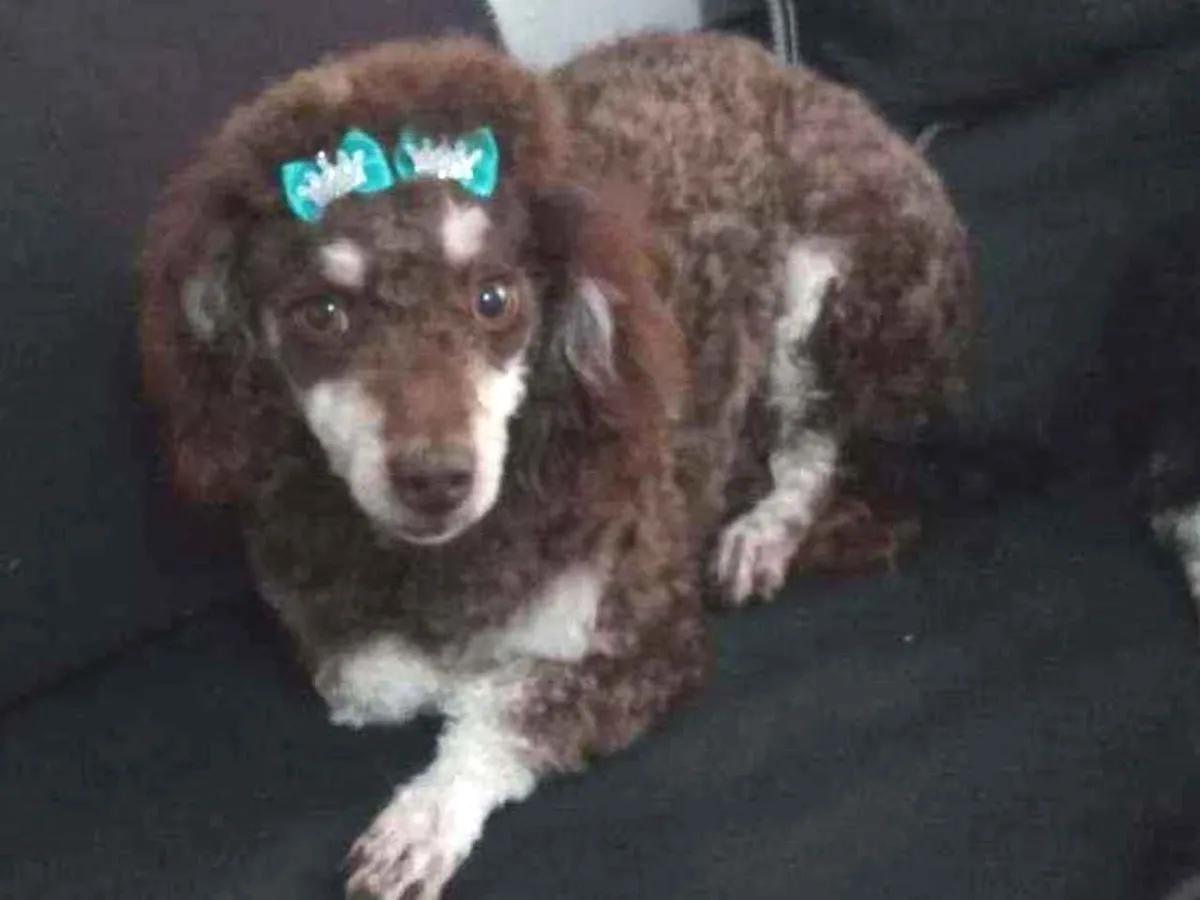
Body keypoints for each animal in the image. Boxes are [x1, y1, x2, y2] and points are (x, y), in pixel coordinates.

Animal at [138, 32, 974, 899]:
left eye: (494, 298)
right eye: (323, 313)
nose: (436, 478)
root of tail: (806, 77)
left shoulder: (644, 638)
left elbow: (509, 705)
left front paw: (425, 814)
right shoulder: (328, 633)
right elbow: (383, 681)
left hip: (833, 287)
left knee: (814, 442)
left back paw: (762, 532)